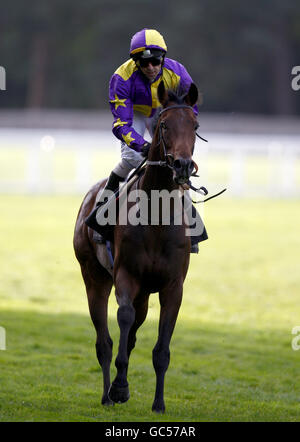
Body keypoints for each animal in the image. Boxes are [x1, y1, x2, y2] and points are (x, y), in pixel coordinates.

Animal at [72, 80, 199, 414]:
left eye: (195, 125)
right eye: (164, 125)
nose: (182, 165)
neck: (156, 218)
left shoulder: (173, 286)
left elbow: (161, 349)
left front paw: (159, 403)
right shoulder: (125, 276)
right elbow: (124, 320)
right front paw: (118, 388)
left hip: (144, 293)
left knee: (130, 336)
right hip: (94, 277)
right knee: (104, 341)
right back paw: (107, 394)